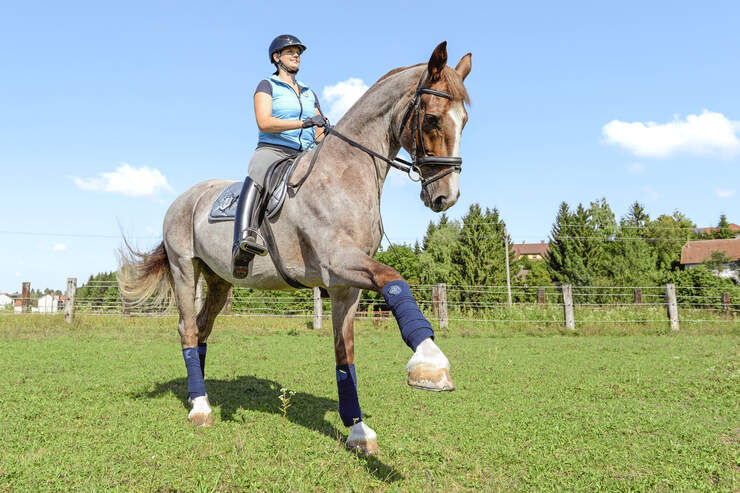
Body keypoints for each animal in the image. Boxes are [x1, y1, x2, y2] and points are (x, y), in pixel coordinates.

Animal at [118, 42, 472, 454]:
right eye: (431, 119)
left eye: (464, 121)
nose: (446, 197)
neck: (345, 173)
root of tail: (185, 197)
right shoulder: (340, 263)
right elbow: (394, 278)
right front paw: (430, 361)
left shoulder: (345, 286)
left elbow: (344, 356)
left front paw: (357, 430)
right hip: (184, 269)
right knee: (188, 330)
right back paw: (200, 408)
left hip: (220, 280)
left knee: (203, 329)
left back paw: (198, 395)